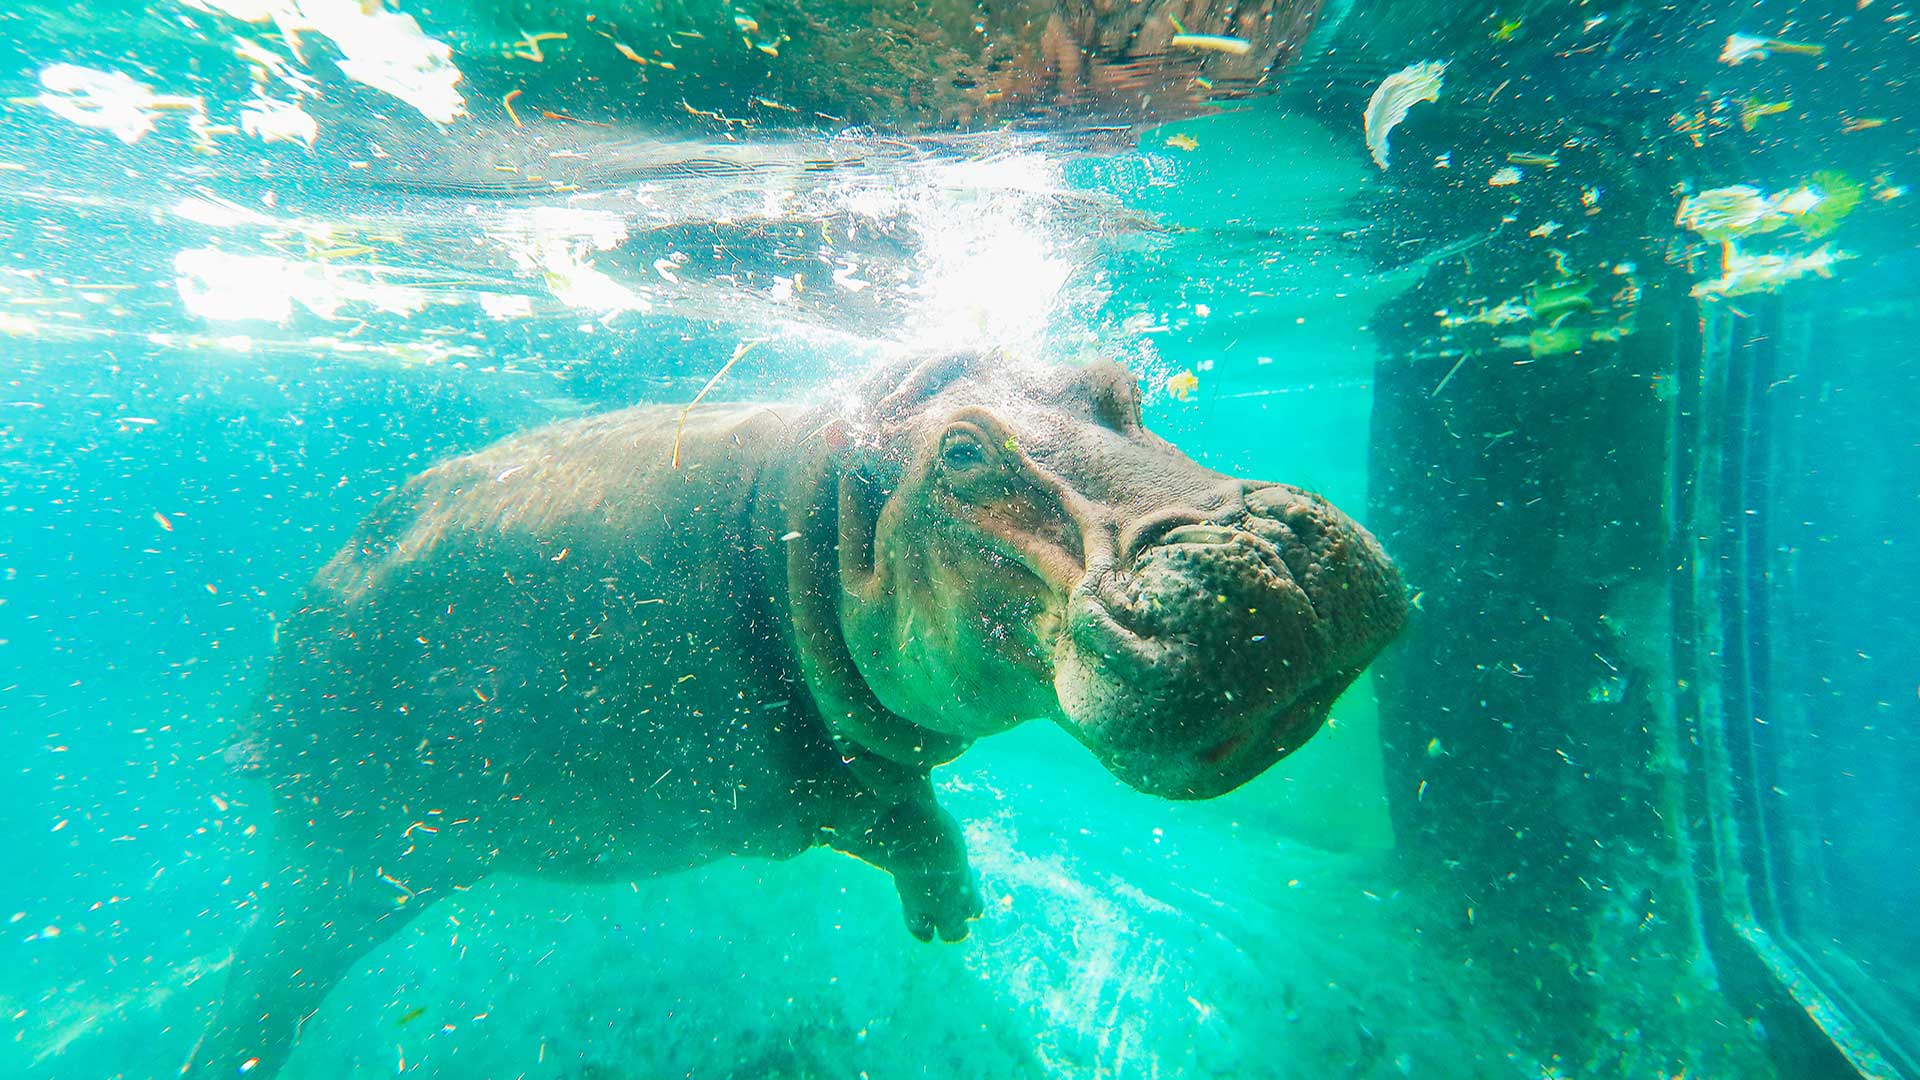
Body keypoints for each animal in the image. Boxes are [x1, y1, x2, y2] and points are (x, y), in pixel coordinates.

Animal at [188, 351, 1406, 1077]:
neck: (813, 513)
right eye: (964, 452)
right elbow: (906, 820)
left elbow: (911, 803)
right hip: (359, 854)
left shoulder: (855, 748)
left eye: (1119, 383)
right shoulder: (792, 784)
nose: (1278, 548)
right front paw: (954, 920)